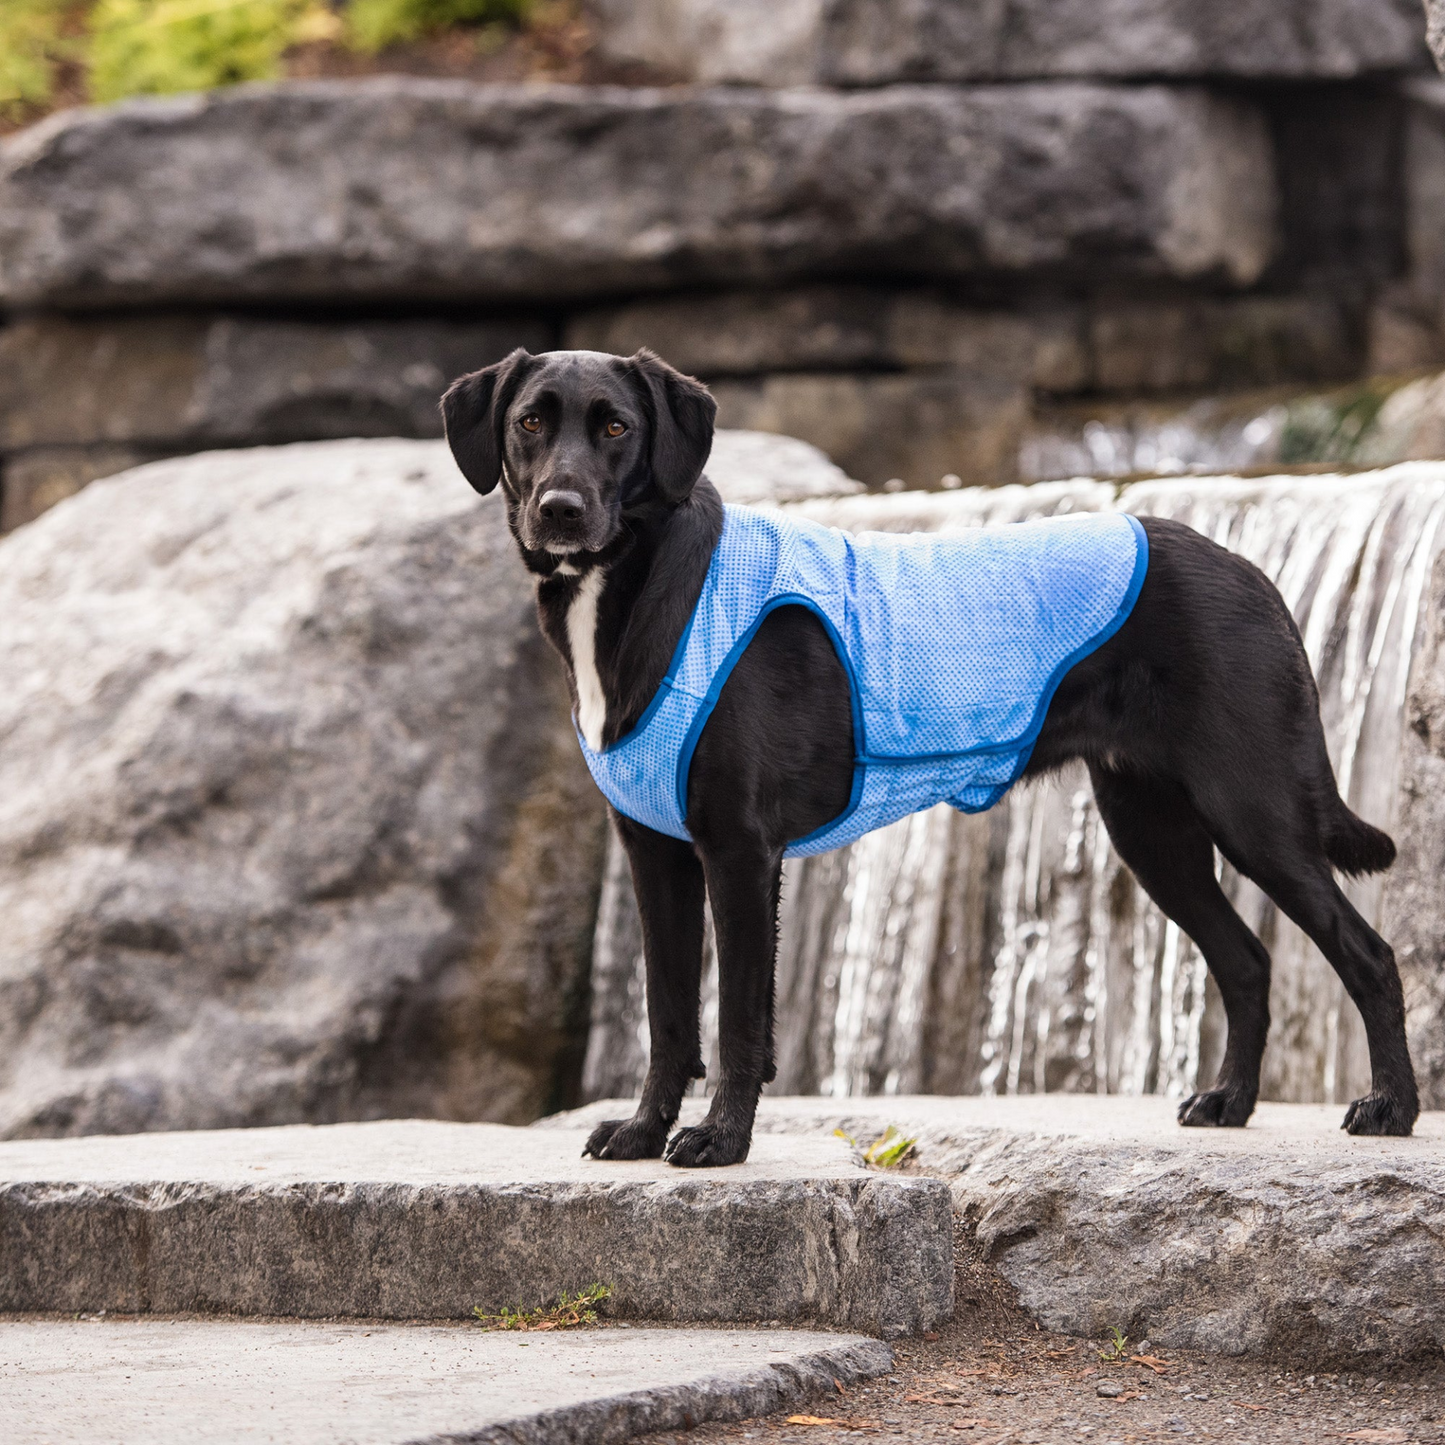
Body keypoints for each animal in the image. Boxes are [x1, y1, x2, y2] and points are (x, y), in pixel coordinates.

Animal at [439, 346, 1410, 1161]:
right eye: (531, 421)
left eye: (616, 428)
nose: (559, 510)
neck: (648, 585)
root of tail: (1253, 571)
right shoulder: (656, 854)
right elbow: (669, 1015)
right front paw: (643, 1131)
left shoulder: (740, 852)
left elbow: (738, 1021)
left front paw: (719, 1139)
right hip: (1152, 830)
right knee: (1244, 960)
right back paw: (1231, 1101)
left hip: (1255, 812)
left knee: (1367, 955)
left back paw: (1390, 1108)